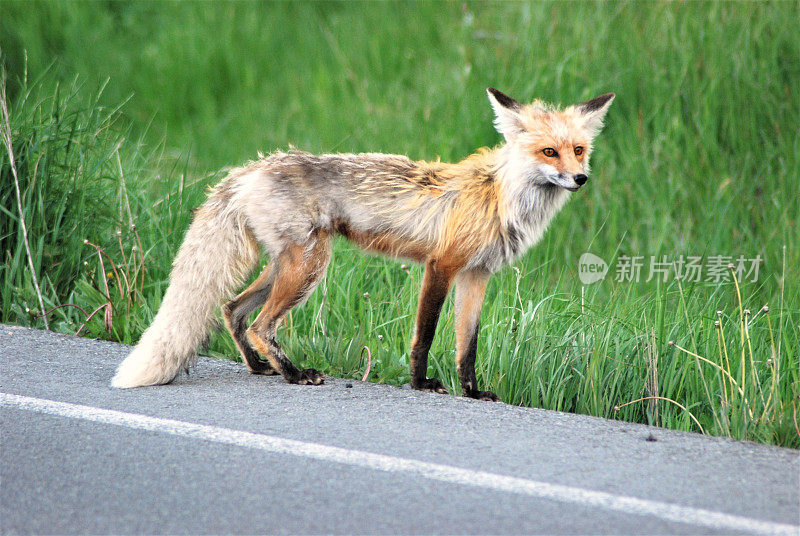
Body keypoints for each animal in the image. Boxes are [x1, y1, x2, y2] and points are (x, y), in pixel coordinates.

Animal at [111, 86, 612, 400]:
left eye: (579, 150)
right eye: (549, 152)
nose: (581, 179)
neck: (498, 197)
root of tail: (250, 168)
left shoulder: (476, 275)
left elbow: (466, 347)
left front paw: (472, 391)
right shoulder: (442, 266)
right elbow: (425, 336)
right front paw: (421, 384)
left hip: (288, 264)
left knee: (232, 309)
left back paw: (260, 367)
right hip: (310, 265)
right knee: (260, 324)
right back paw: (294, 374)